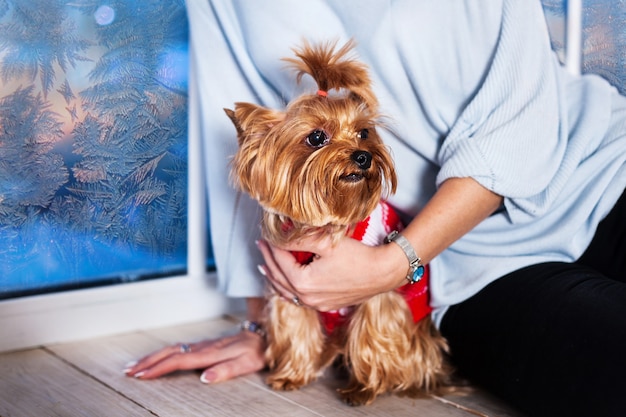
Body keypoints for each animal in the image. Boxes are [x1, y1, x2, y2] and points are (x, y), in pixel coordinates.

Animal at [227, 39, 450, 406]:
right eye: (316, 137)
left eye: (364, 133)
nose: (364, 156)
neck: (326, 221)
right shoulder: (288, 290)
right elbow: (296, 325)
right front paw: (292, 375)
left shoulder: (379, 293)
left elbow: (373, 334)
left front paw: (364, 388)